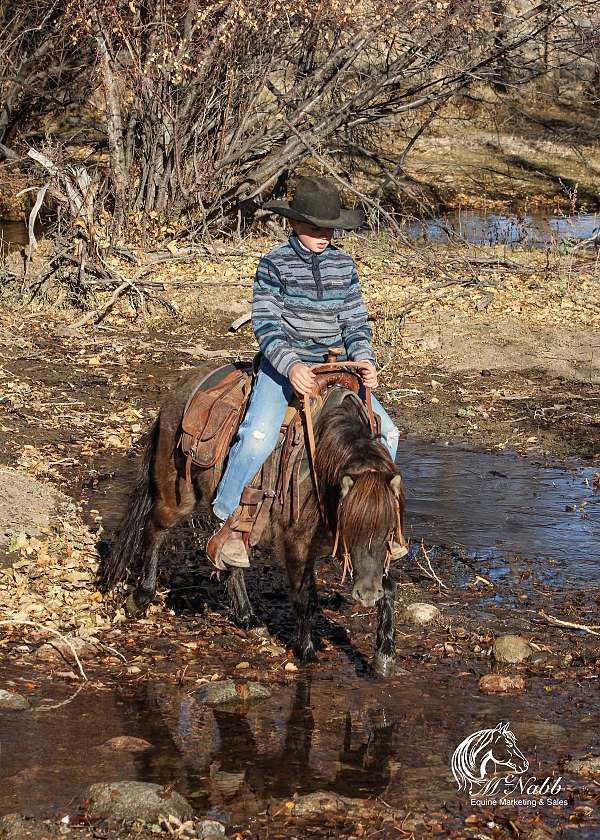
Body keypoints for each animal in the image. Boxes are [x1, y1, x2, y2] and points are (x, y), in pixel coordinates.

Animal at [103, 368, 406, 676]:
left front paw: (384, 656)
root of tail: (179, 393)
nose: (367, 594)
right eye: (351, 531)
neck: (321, 465)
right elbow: (305, 599)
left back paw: (248, 617)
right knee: (155, 530)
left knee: (228, 554)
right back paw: (141, 597)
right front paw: (307, 654)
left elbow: (389, 588)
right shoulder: (296, 543)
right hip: (176, 496)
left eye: (389, 531)